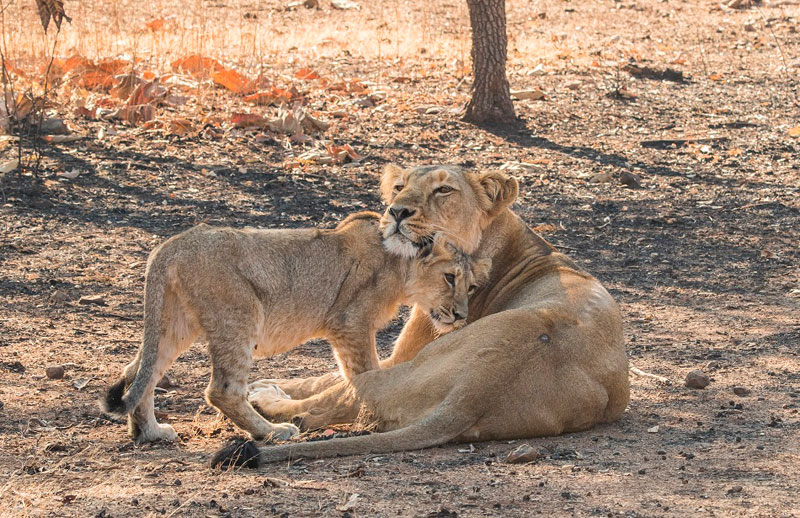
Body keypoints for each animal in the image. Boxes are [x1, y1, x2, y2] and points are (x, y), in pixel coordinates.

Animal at [100, 213, 488, 444]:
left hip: (174, 323)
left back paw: (149, 432)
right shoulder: (350, 325)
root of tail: (170, 246)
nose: (460, 315)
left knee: (139, 371)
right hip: (240, 316)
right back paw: (271, 432)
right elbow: (367, 374)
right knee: (222, 390)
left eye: (470, 286)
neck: (398, 265)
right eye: (449, 277)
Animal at [216, 166, 628, 468]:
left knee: (336, 402)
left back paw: (269, 405)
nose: (396, 210)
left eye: (443, 190)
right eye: (399, 186)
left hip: (409, 369)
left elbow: (327, 379)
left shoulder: (404, 352)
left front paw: (267, 386)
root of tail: (477, 391)